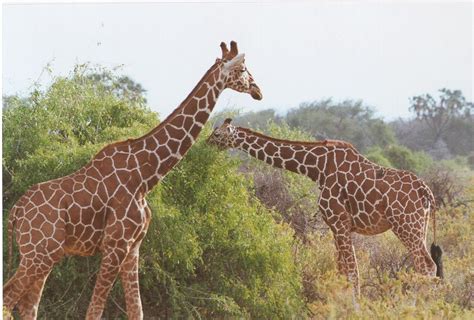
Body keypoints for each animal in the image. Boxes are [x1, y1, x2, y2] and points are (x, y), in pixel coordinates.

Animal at [2, 42, 262, 320]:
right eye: (243, 69)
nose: (258, 90)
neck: (146, 175)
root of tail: (16, 211)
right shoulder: (115, 245)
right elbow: (95, 310)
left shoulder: (133, 247)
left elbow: (136, 310)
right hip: (39, 253)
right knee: (8, 299)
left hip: (45, 254)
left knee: (27, 306)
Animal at [208, 119, 444, 296]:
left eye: (217, 134)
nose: (206, 144)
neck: (317, 168)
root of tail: (427, 192)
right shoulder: (334, 226)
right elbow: (341, 272)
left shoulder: (340, 223)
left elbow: (352, 274)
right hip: (420, 227)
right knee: (427, 267)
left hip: (406, 226)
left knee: (427, 266)